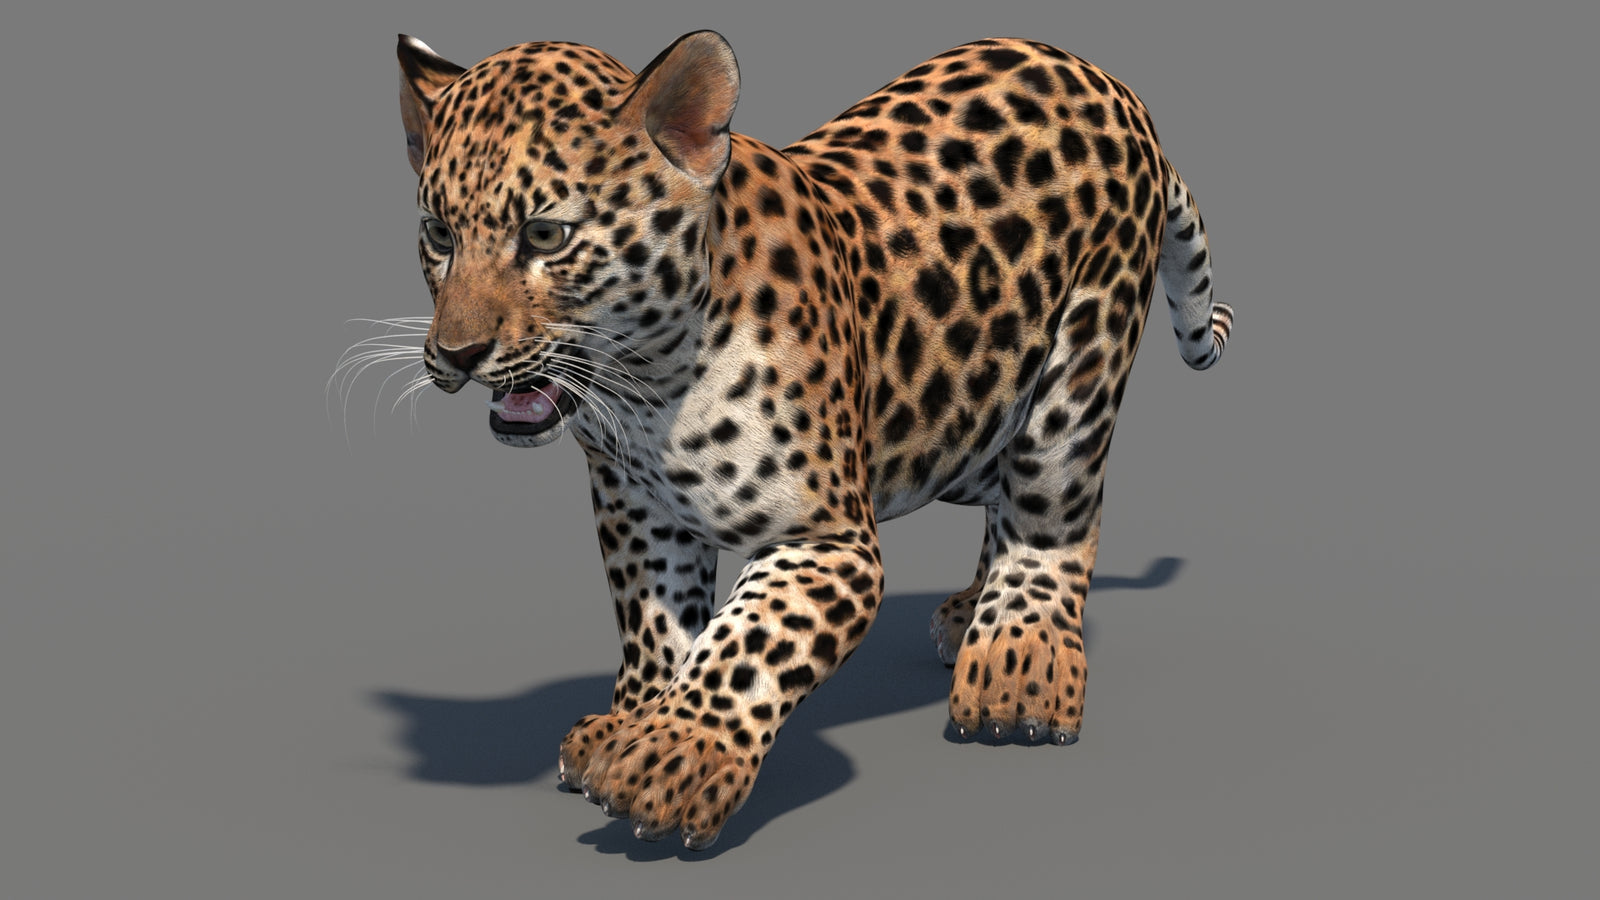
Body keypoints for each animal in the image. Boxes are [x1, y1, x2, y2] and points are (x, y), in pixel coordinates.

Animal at [391, 29, 1231, 849]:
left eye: (546, 235)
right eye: (438, 234)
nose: (456, 355)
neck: (647, 388)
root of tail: (1106, 80)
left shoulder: (827, 539)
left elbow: (747, 640)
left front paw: (673, 756)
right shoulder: (639, 509)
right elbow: (656, 621)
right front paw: (634, 719)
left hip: (1081, 357)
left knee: (1051, 505)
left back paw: (1017, 662)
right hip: (973, 407)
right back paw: (969, 615)